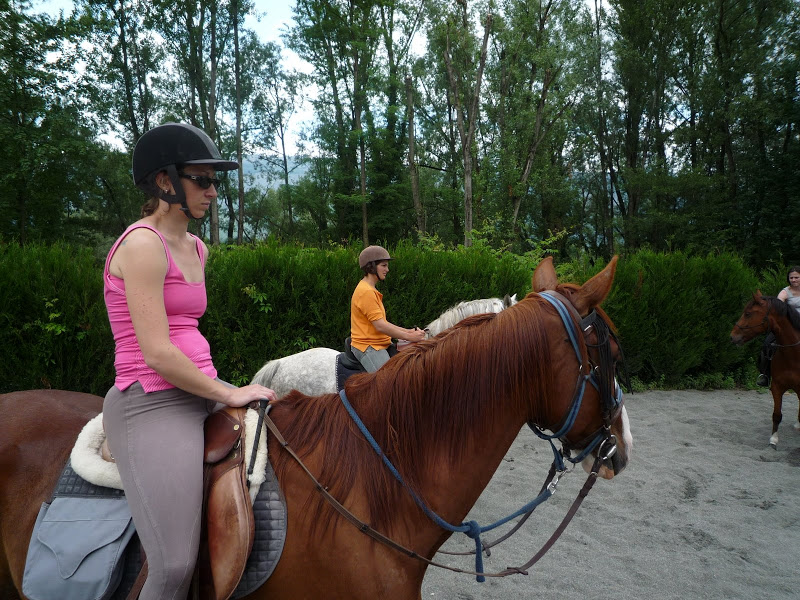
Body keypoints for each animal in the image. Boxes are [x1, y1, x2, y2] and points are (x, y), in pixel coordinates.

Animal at [732, 292, 800, 448]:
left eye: (748, 313)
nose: (732, 336)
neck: (794, 354)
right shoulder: (777, 386)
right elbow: (776, 415)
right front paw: (773, 440)